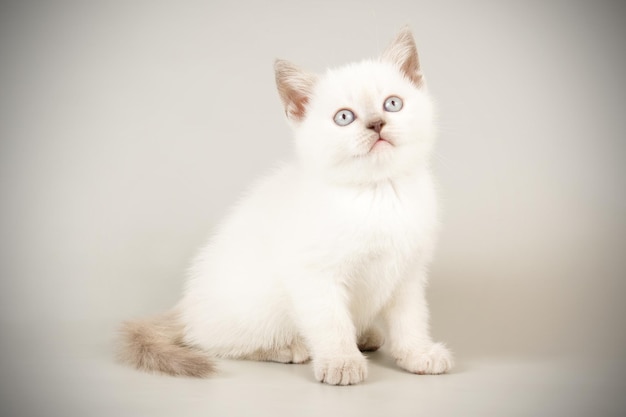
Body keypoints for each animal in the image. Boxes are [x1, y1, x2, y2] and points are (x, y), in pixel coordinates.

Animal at [118, 27, 448, 386]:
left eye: (392, 104)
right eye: (344, 118)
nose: (376, 124)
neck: (379, 192)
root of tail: (185, 307)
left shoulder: (408, 274)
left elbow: (411, 319)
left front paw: (418, 353)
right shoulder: (314, 275)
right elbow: (331, 322)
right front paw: (341, 362)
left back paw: (365, 335)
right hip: (253, 304)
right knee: (215, 341)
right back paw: (288, 347)